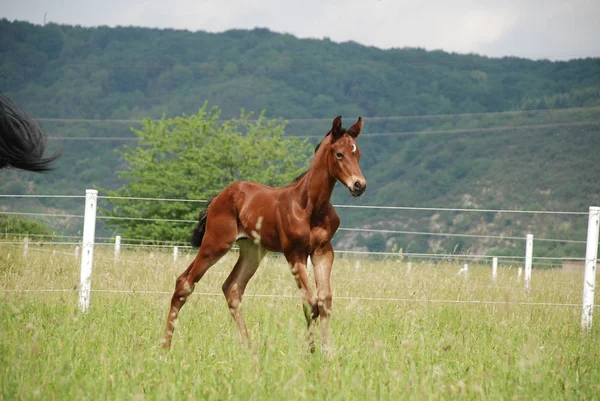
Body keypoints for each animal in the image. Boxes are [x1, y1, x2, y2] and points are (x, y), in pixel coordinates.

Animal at [161, 115, 366, 350]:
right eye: (339, 154)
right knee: (185, 283)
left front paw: (326, 351)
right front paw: (310, 351)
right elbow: (309, 301)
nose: (359, 185)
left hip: (253, 250)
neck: (311, 207)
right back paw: (165, 346)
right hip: (215, 243)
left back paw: (248, 347)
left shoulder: (323, 252)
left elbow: (324, 300)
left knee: (232, 288)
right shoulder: (294, 253)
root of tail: (219, 197)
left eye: (357, 153)